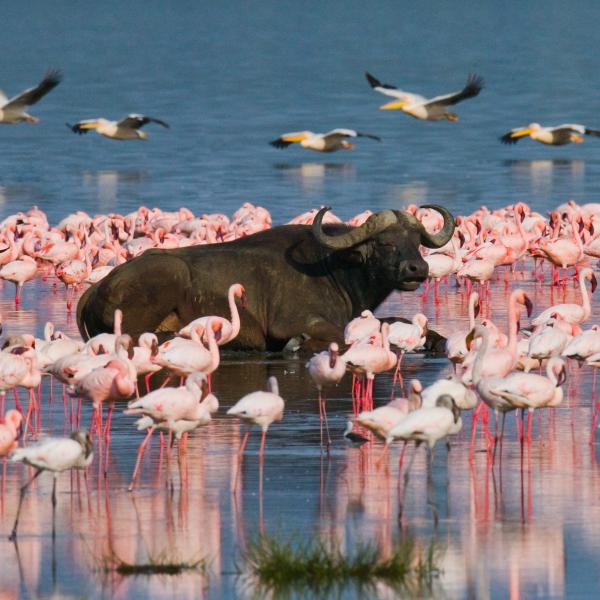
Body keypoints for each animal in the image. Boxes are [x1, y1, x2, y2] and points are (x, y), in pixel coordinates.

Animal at [78, 207, 454, 352]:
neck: (335, 269)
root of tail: (96, 288)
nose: (417, 269)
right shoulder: (293, 323)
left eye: (416, 241)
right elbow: (338, 336)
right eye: (385, 243)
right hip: (168, 275)